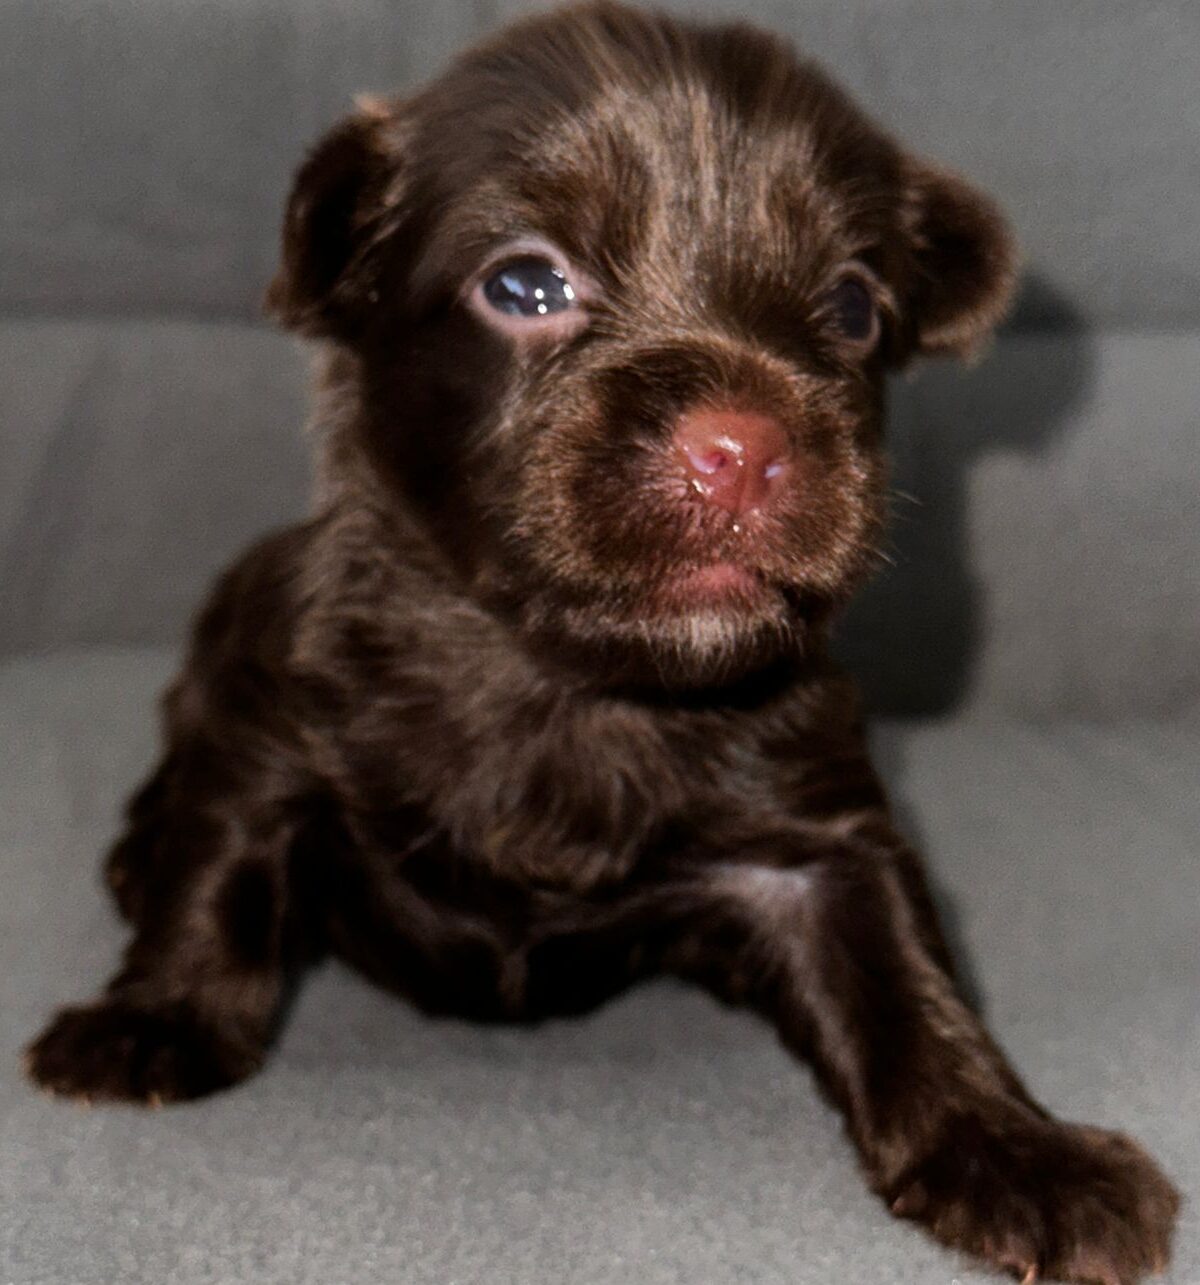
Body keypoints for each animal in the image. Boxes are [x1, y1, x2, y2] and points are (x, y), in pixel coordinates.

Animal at [23, 5, 1176, 1279]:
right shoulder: (266, 719)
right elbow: (220, 862)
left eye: (852, 307)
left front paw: (1018, 1147)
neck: (571, 677)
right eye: (526, 283)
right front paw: (153, 1018)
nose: (744, 449)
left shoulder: (817, 830)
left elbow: (908, 973)